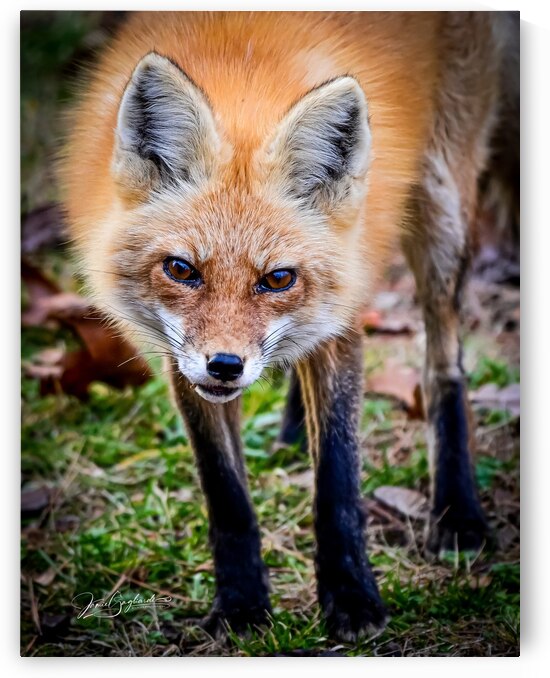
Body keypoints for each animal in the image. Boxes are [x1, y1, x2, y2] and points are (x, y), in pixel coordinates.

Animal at [59, 11, 519, 640]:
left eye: (277, 278)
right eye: (181, 270)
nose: (226, 366)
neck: (244, 86)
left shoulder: (341, 318)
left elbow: (338, 481)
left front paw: (352, 598)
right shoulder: (180, 355)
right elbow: (226, 492)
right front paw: (241, 605)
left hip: (442, 208)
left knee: (445, 365)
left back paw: (457, 514)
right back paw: (295, 432)